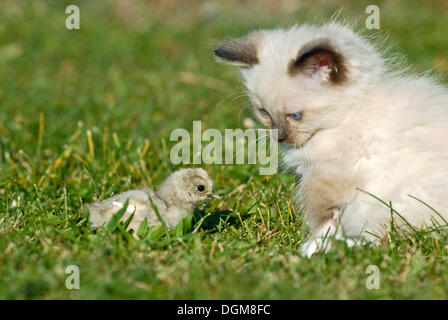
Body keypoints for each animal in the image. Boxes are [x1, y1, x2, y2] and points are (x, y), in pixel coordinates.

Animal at [214, 22, 448, 256]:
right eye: (264, 113)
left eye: (295, 116)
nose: (280, 138)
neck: (345, 115)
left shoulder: (327, 174)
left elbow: (317, 209)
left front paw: (321, 237)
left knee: (381, 239)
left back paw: (315, 249)